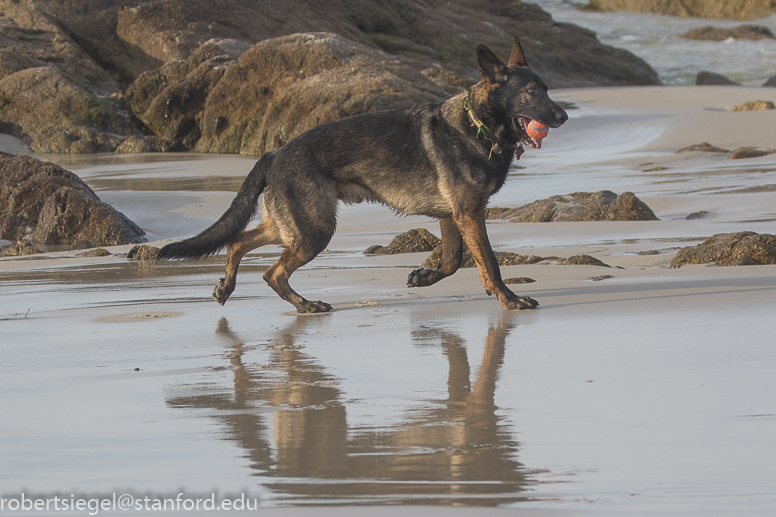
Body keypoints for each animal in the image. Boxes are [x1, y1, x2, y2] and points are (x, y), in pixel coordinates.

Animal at [159, 36, 568, 312]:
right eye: (533, 92)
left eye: (548, 89)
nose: (563, 116)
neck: (476, 125)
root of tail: (274, 154)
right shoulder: (469, 213)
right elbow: (490, 263)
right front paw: (508, 299)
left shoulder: (453, 215)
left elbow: (452, 260)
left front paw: (425, 276)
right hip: (314, 230)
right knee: (271, 271)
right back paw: (305, 305)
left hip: (293, 227)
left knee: (238, 242)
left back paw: (228, 287)